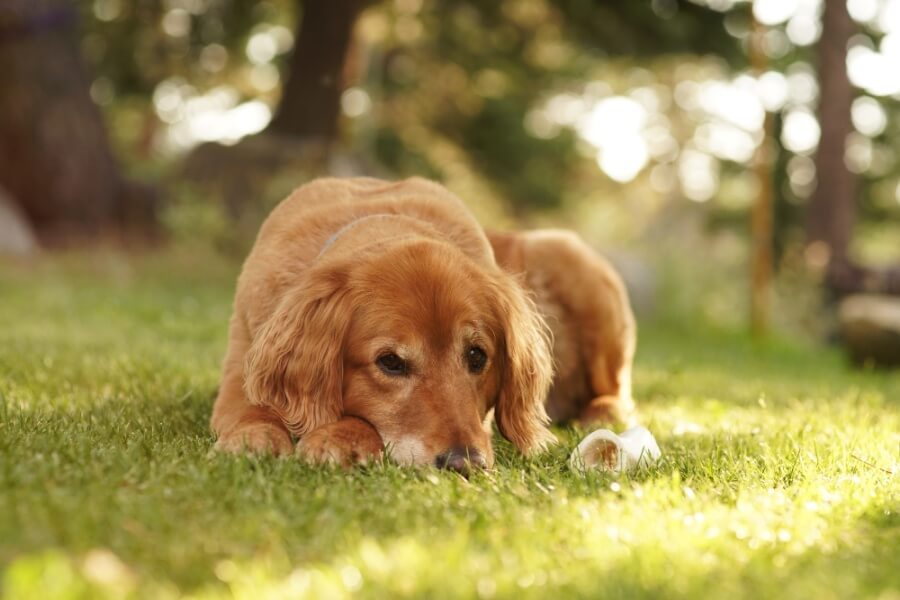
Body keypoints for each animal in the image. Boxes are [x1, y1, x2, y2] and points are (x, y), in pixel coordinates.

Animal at [210, 176, 552, 472]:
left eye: (476, 356)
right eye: (390, 362)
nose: (465, 463)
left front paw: (342, 437)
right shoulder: (241, 367)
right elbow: (250, 406)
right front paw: (255, 436)